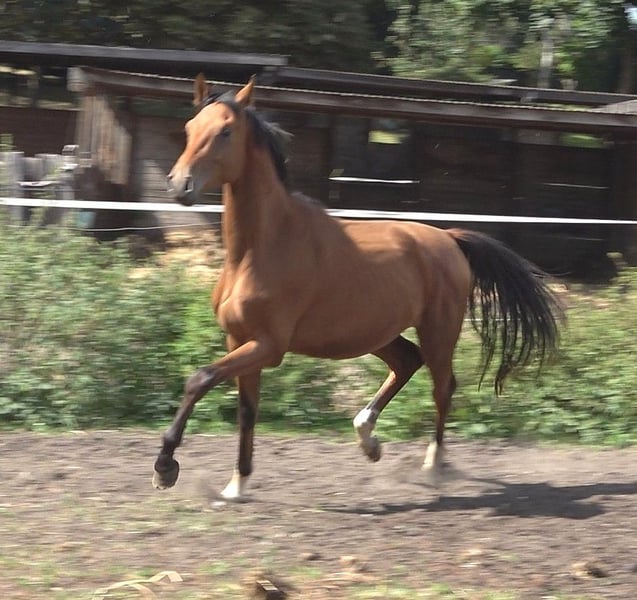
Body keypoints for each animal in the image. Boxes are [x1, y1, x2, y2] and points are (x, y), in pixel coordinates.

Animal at [153, 75, 563, 501]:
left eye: (225, 131)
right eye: (189, 128)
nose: (179, 186)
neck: (260, 248)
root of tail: (449, 239)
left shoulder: (268, 346)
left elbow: (199, 379)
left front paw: (166, 468)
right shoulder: (239, 339)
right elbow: (247, 410)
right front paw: (237, 484)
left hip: (439, 331)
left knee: (443, 387)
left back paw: (432, 466)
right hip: (377, 333)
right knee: (407, 362)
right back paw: (369, 439)